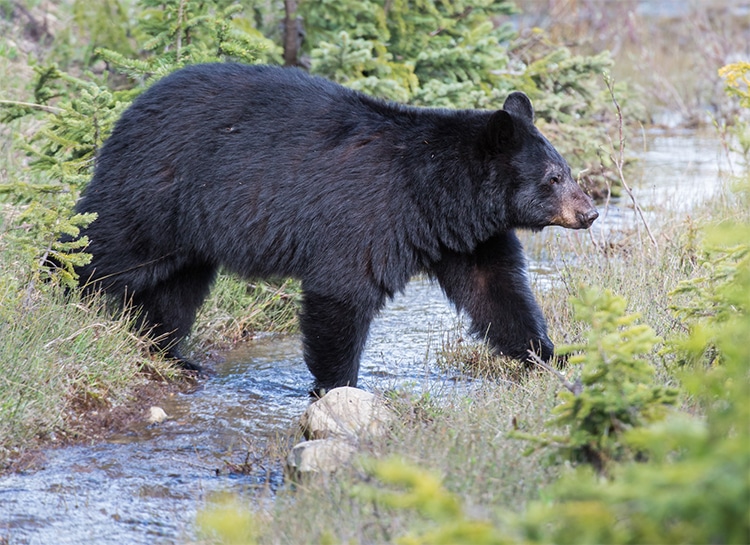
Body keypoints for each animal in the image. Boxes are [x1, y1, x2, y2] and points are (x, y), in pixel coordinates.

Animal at [75, 63, 600, 392]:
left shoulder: (468, 238)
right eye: (554, 178)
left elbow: (496, 290)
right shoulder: (368, 215)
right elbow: (343, 291)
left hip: (190, 231)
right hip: (157, 193)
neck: (435, 194)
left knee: (177, 287)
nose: (590, 212)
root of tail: (134, 104)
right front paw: (337, 386)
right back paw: (67, 296)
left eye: (566, 170)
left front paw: (552, 355)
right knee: (105, 248)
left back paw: (170, 351)